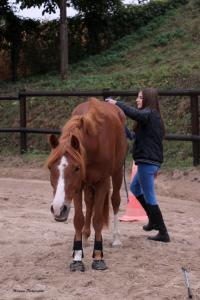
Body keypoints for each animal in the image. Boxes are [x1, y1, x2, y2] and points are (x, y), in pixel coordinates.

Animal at [46, 97, 127, 270]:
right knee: (89, 203)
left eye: (76, 168)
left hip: (117, 172)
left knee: (115, 201)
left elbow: (97, 220)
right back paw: (85, 236)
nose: (58, 209)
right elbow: (78, 219)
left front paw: (98, 257)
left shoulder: (102, 182)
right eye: (50, 167)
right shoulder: (78, 186)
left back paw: (116, 238)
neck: (94, 142)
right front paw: (77, 257)